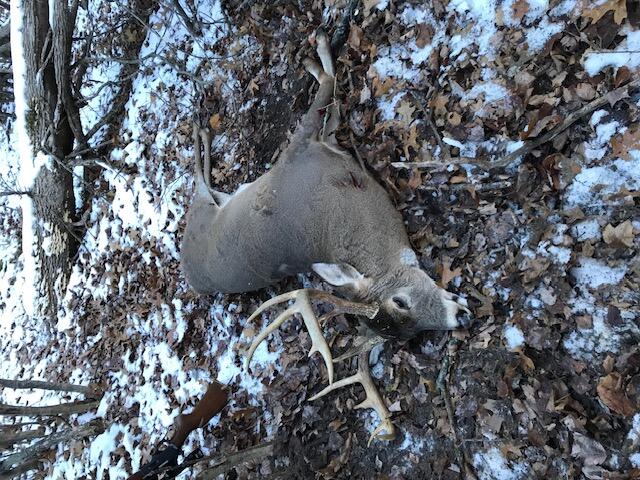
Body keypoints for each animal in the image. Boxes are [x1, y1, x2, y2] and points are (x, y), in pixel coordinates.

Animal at [181, 30, 472, 444]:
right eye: (400, 304)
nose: (461, 318)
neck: (341, 220)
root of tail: (188, 272)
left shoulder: (316, 147)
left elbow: (330, 106)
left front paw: (315, 58)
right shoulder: (301, 150)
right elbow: (326, 89)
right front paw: (317, 53)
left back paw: (202, 127)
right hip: (202, 214)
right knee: (196, 182)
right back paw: (200, 125)